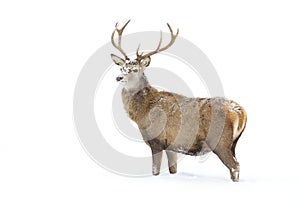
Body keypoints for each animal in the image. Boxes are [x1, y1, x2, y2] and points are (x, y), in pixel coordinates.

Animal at [109, 20, 246, 182]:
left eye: (135, 69)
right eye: (122, 67)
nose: (119, 77)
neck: (142, 113)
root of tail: (241, 112)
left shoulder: (156, 140)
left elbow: (155, 170)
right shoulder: (171, 146)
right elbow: (173, 169)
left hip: (220, 141)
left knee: (235, 166)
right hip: (233, 143)